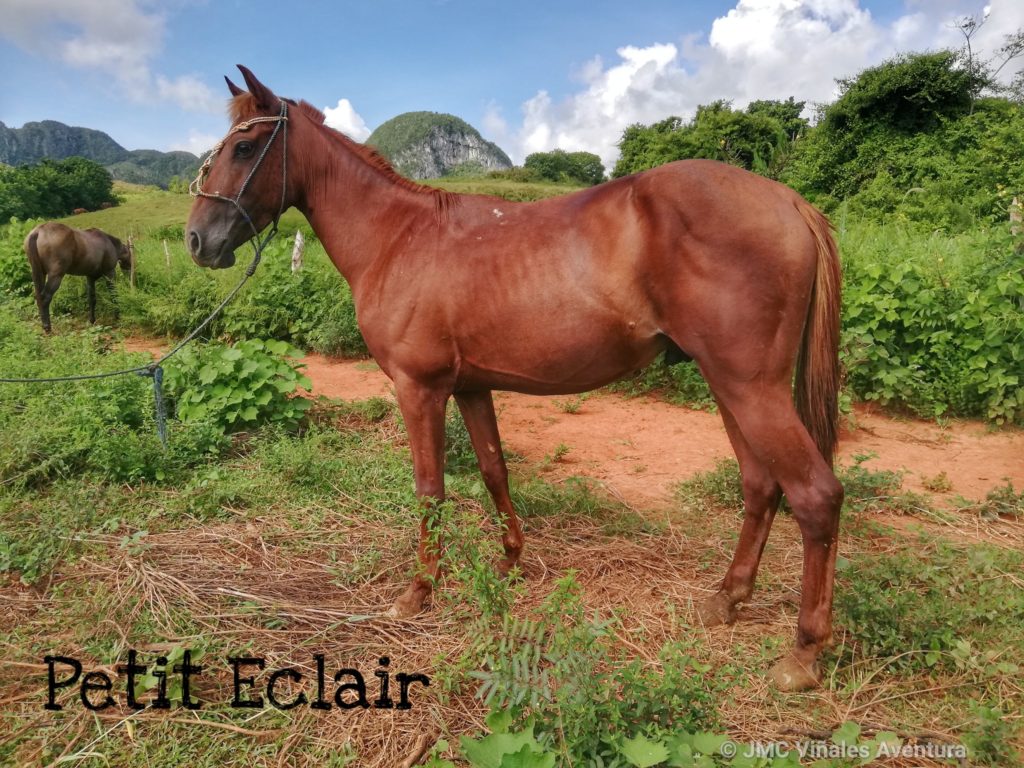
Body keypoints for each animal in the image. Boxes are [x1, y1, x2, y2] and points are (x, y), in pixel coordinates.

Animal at [186, 67, 844, 692]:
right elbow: (493, 469)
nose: (197, 240)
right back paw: (727, 599)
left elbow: (431, 488)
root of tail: (790, 202)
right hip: (728, 386)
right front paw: (510, 561)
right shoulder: (471, 387)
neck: (400, 237)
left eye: (244, 147)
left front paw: (420, 589)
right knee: (761, 486)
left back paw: (803, 653)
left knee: (816, 496)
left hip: (750, 388)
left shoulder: (419, 389)